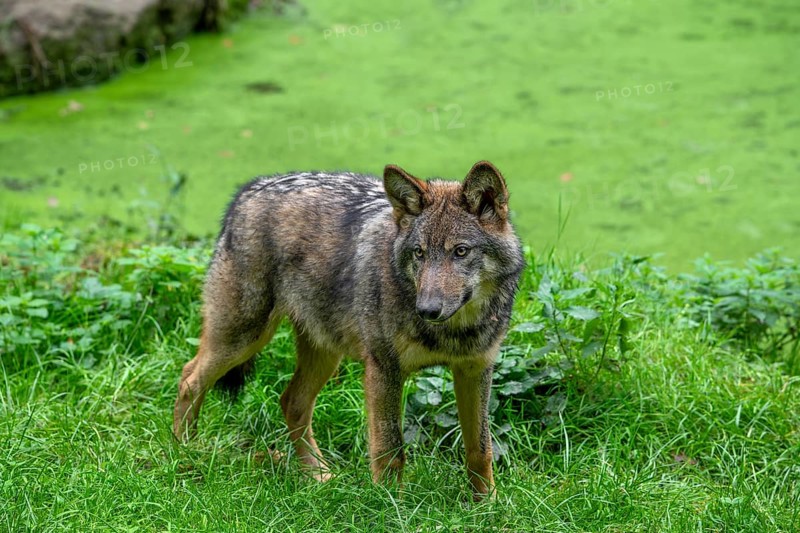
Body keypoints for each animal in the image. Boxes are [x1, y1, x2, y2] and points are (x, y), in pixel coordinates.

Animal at [173, 160, 524, 499]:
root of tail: (249, 189)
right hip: (244, 338)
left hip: (324, 353)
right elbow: (390, 450)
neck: (452, 332)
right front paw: (389, 505)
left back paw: (318, 476)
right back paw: (185, 455)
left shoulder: (475, 369)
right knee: (189, 378)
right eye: (419, 253)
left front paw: (486, 505)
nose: (426, 309)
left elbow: (479, 449)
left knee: (291, 403)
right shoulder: (383, 368)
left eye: (460, 251)